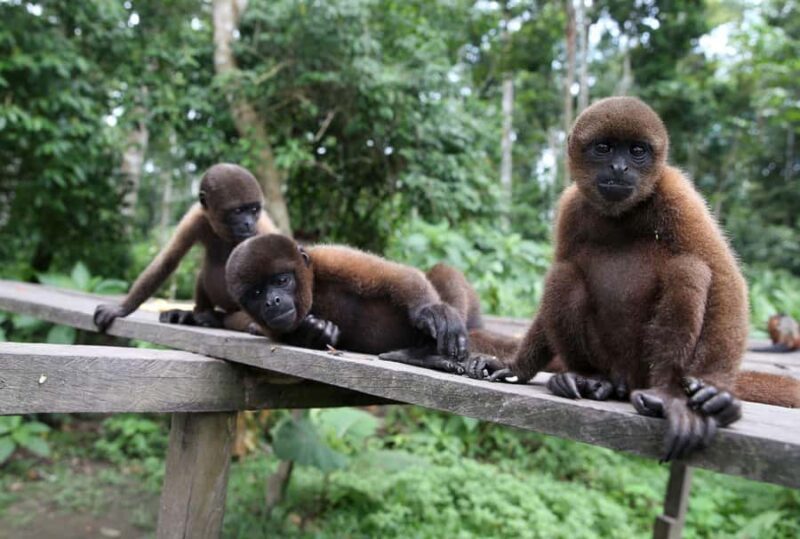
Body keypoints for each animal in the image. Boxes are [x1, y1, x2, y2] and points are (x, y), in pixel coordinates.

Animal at [93, 163, 277, 332]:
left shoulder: (262, 229)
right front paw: (120, 309)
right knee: (202, 274)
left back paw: (216, 319)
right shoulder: (195, 217)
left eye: (254, 210)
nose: (249, 223)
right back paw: (196, 315)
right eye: (238, 211)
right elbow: (168, 260)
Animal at [225, 234, 521, 372]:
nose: (272, 302)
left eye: (282, 280)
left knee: (441, 270)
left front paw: (432, 311)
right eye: (256, 293)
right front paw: (318, 331)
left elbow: (398, 276)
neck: (312, 290)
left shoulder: (330, 258)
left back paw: (427, 355)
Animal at [468, 96, 800, 461]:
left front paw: (715, 390)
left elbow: (725, 276)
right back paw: (589, 380)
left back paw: (665, 393)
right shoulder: (571, 205)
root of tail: (625, 378)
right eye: (604, 148)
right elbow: (562, 263)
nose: (619, 168)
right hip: (606, 357)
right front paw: (514, 366)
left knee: (688, 269)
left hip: (644, 366)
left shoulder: (677, 191)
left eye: (637, 151)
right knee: (563, 273)